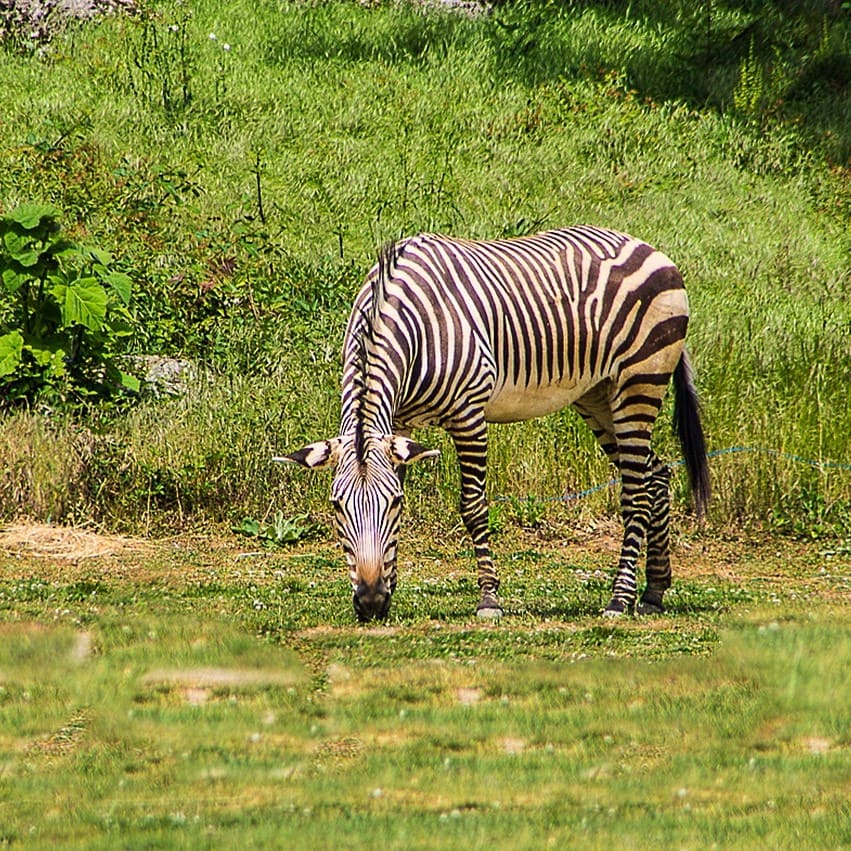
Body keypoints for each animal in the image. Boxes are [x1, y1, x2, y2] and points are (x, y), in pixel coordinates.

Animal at [282, 230, 712, 624]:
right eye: (337, 507)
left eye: (393, 504)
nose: (370, 603)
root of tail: (648, 247)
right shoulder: (399, 425)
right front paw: (392, 587)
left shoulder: (468, 414)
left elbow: (473, 507)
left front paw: (489, 599)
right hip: (597, 394)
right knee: (656, 473)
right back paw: (654, 591)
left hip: (639, 382)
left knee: (636, 490)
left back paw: (620, 598)